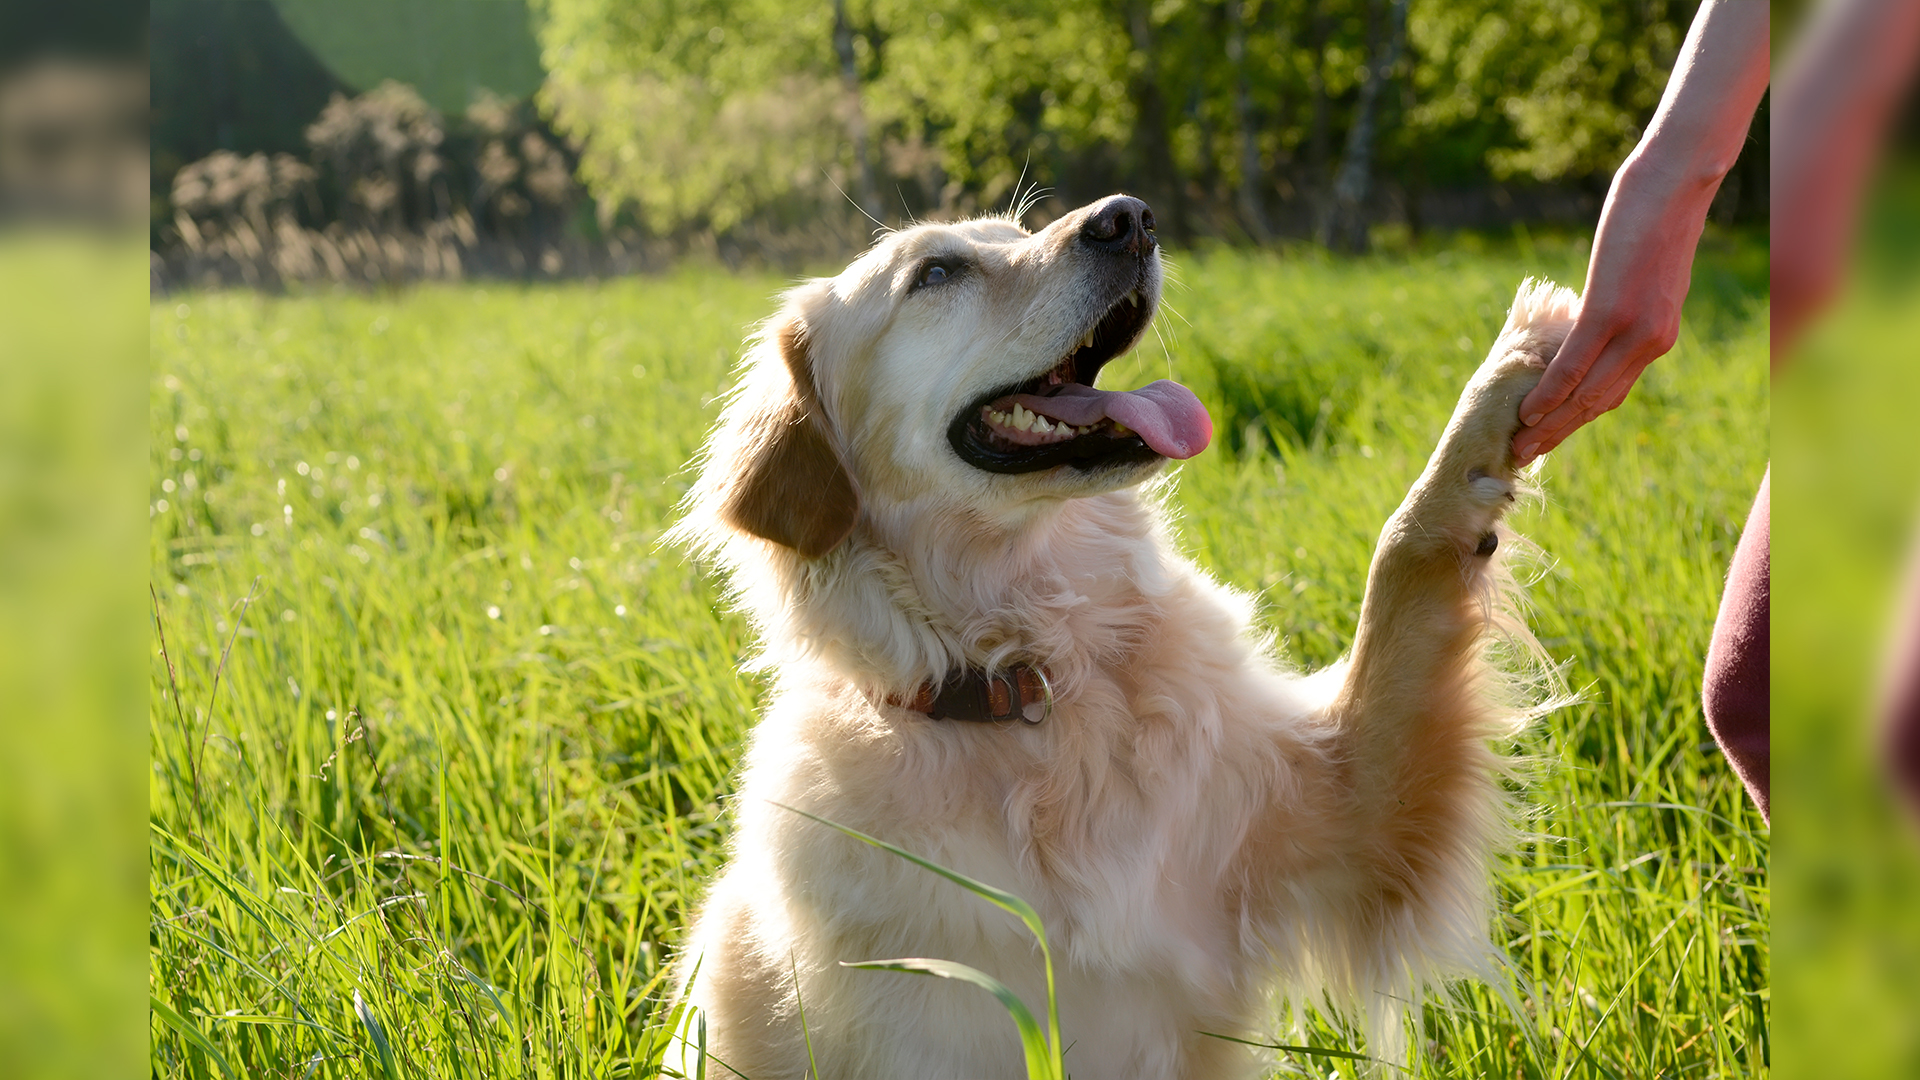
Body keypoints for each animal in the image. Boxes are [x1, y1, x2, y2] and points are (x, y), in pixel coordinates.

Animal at [668, 195, 1566, 1076]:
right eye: (936, 273)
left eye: (1018, 231)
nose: (1129, 217)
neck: (1039, 682)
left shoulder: (1350, 817)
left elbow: (1402, 562)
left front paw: (1514, 368)